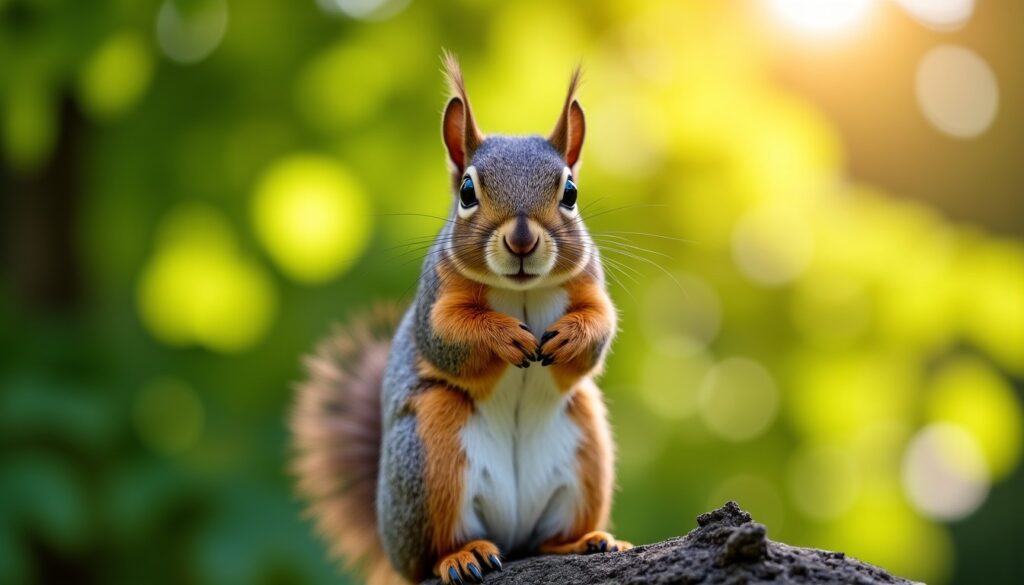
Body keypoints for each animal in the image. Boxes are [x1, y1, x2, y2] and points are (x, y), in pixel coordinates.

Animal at [291, 53, 629, 585]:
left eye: (571, 192)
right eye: (467, 191)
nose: (521, 240)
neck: (521, 290)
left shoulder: (589, 286)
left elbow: (599, 328)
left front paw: (572, 338)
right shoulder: (436, 299)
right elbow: (449, 337)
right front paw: (504, 336)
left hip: (586, 443)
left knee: (546, 537)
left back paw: (584, 541)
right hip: (432, 452)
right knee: (433, 552)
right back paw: (462, 555)